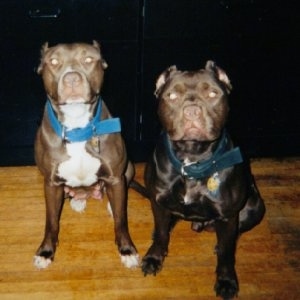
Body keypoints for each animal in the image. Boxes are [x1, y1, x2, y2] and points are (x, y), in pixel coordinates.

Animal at [33, 40, 139, 270]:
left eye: (89, 59)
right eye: (53, 61)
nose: (72, 78)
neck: (77, 126)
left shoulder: (115, 177)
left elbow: (121, 220)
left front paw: (127, 250)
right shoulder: (51, 183)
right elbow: (51, 221)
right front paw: (46, 252)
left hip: (129, 169)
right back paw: (78, 199)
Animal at [141, 61, 264, 300]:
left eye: (212, 93)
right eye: (171, 96)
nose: (192, 111)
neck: (192, 161)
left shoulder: (227, 216)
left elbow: (226, 253)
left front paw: (226, 281)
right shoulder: (158, 202)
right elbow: (161, 234)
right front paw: (154, 257)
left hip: (255, 207)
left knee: (235, 233)